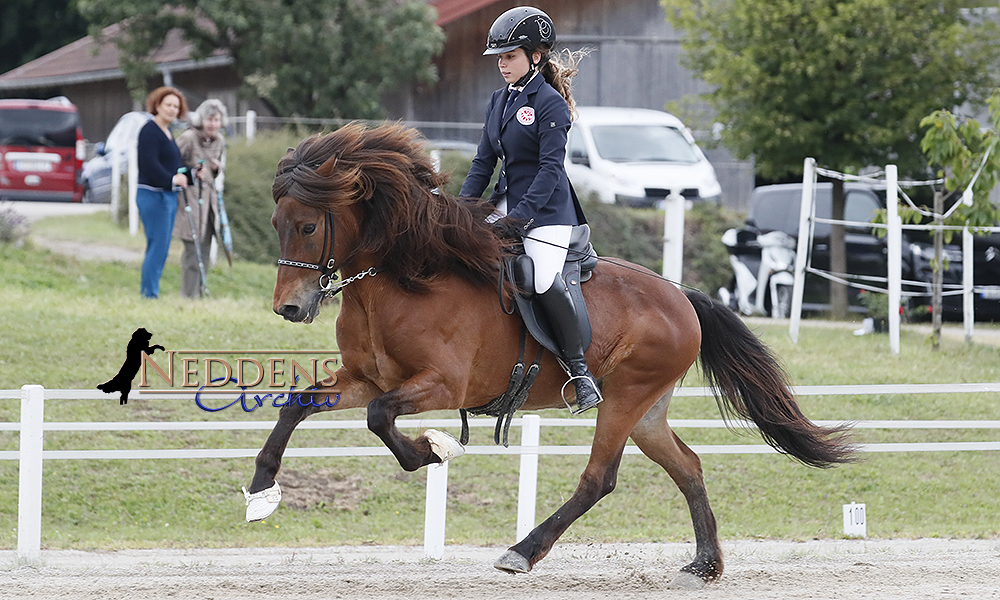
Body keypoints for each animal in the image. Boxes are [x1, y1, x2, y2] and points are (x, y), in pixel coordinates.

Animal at [244, 120, 852, 584]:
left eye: (307, 225)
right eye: (275, 224)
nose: (289, 308)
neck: (400, 282)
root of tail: (683, 297)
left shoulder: (440, 383)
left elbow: (379, 417)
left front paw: (432, 451)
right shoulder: (365, 377)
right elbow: (299, 404)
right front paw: (260, 492)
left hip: (623, 398)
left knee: (599, 479)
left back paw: (522, 552)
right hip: (647, 409)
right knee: (687, 465)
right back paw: (705, 564)